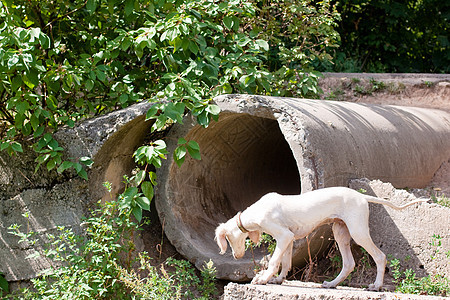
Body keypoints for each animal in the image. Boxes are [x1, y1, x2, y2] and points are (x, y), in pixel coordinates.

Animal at [214, 188, 426, 290]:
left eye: (229, 240)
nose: (236, 257)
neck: (257, 211)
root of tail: (361, 196)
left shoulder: (284, 236)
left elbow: (274, 261)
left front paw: (263, 278)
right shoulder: (289, 239)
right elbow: (286, 262)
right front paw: (279, 279)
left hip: (358, 232)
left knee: (380, 257)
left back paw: (376, 286)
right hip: (340, 231)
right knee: (349, 263)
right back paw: (332, 284)